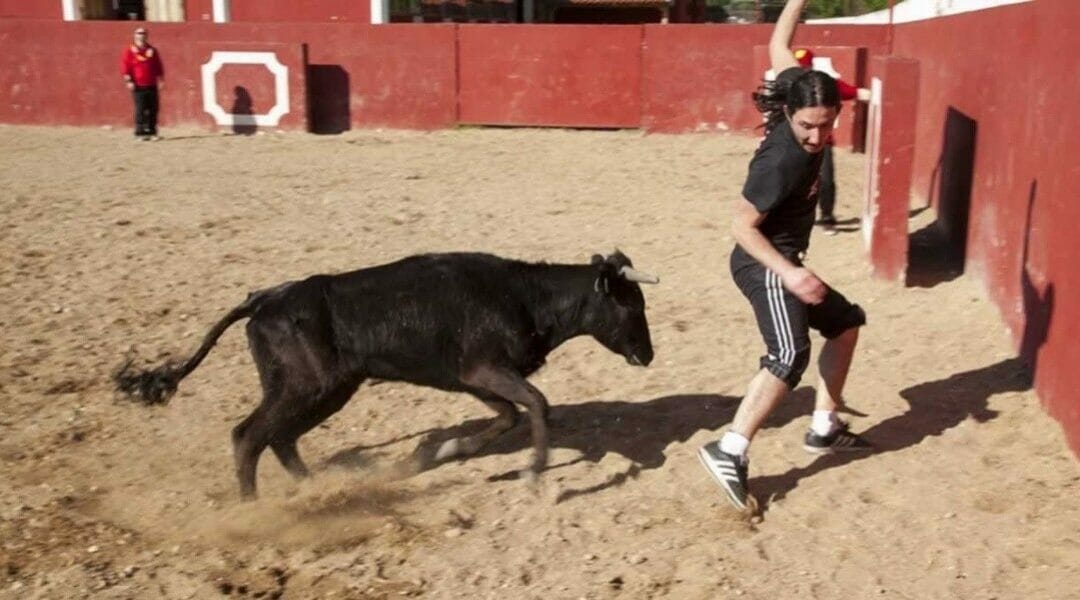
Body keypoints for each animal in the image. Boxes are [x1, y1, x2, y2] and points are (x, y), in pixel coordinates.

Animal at [118, 250, 656, 498]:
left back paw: (318, 488)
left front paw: (443, 452)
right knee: (249, 435)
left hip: (327, 389)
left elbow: (508, 416)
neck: (525, 296)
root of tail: (266, 298)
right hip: (306, 386)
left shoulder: (473, 378)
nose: (649, 355)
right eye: (632, 305)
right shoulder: (485, 368)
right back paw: (254, 509)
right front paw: (533, 474)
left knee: (280, 437)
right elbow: (537, 405)